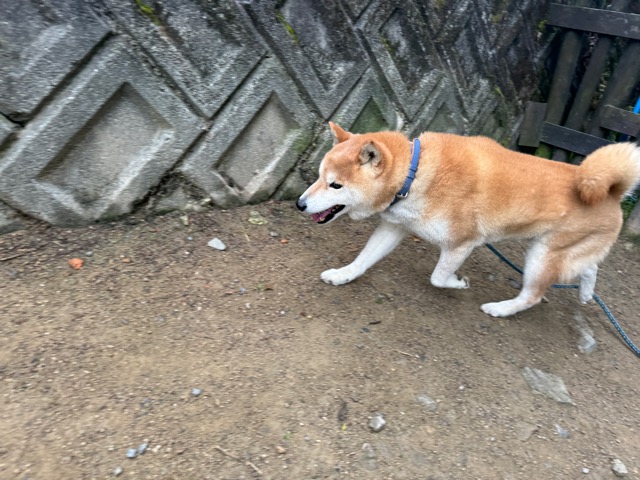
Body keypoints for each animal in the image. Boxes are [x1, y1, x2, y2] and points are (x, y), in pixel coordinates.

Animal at [296, 122, 640, 317]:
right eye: (319, 177)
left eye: (335, 185)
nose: (300, 204)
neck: (414, 175)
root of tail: (611, 193)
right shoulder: (394, 226)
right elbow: (363, 259)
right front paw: (343, 275)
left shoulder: (462, 243)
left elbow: (438, 277)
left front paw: (458, 283)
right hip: (557, 252)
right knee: (589, 267)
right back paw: (585, 294)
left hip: (542, 256)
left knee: (533, 296)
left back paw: (499, 310)